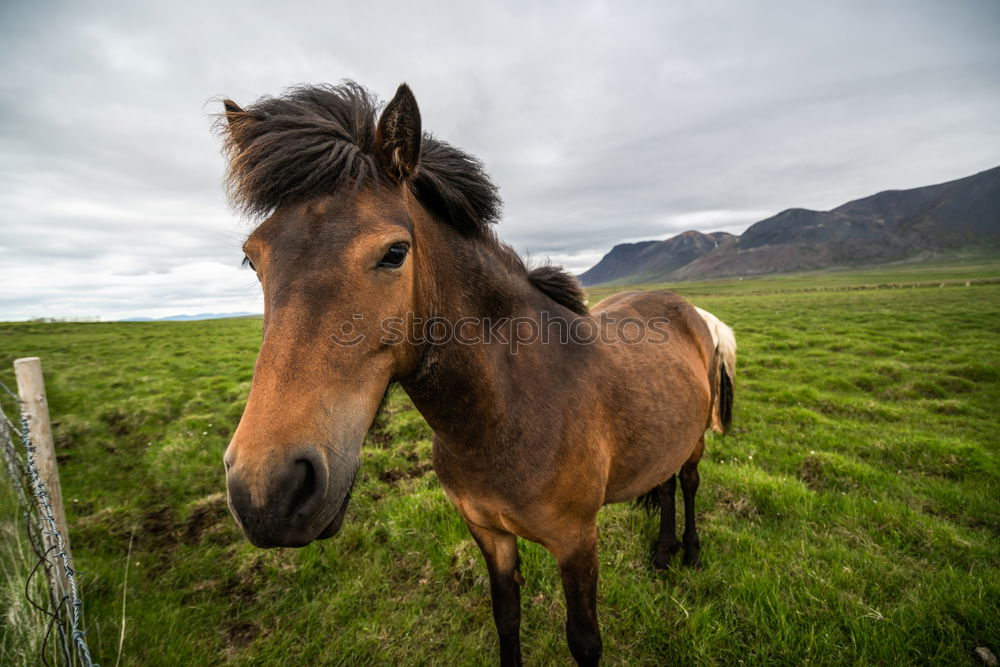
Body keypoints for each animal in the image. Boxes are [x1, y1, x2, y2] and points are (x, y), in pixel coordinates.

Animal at [217, 81, 736, 664]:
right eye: (253, 259)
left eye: (395, 252)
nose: (268, 491)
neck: (509, 411)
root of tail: (692, 310)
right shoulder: (488, 532)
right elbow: (506, 618)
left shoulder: (577, 541)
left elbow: (584, 641)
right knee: (664, 487)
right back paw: (664, 553)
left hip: (694, 442)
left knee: (687, 486)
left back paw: (690, 552)